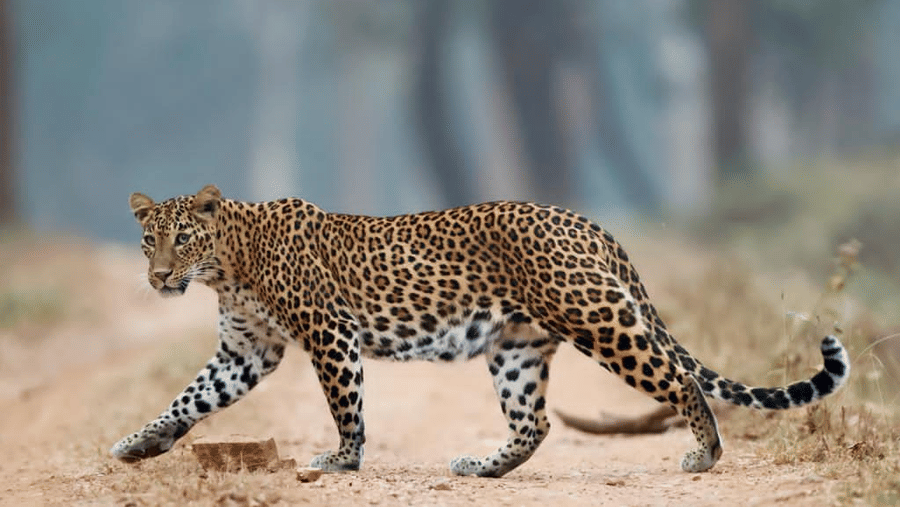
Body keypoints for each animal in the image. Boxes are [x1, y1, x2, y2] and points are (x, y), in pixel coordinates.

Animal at [111, 185, 849, 477]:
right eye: (149, 240)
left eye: (184, 236)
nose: (160, 276)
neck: (227, 265)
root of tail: (590, 224)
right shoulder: (246, 349)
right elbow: (189, 398)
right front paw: (138, 444)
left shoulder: (328, 330)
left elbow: (345, 403)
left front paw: (342, 459)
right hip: (516, 346)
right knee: (535, 422)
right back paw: (483, 467)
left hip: (598, 319)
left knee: (680, 380)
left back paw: (705, 454)